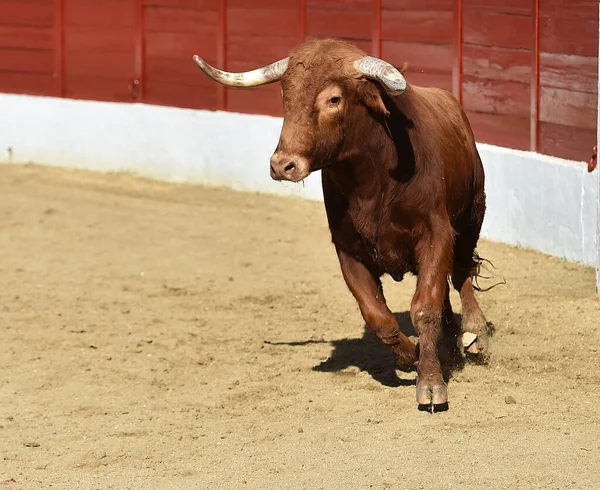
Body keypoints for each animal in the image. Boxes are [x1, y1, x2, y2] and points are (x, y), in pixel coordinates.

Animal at [195, 39, 490, 414]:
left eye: (333, 99)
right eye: (285, 95)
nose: (282, 165)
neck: (373, 179)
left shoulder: (435, 233)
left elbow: (424, 307)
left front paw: (431, 385)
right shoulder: (348, 249)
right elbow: (379, 317)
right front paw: (410, 353)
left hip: (471, 214)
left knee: (463, 270)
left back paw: (474, 333)